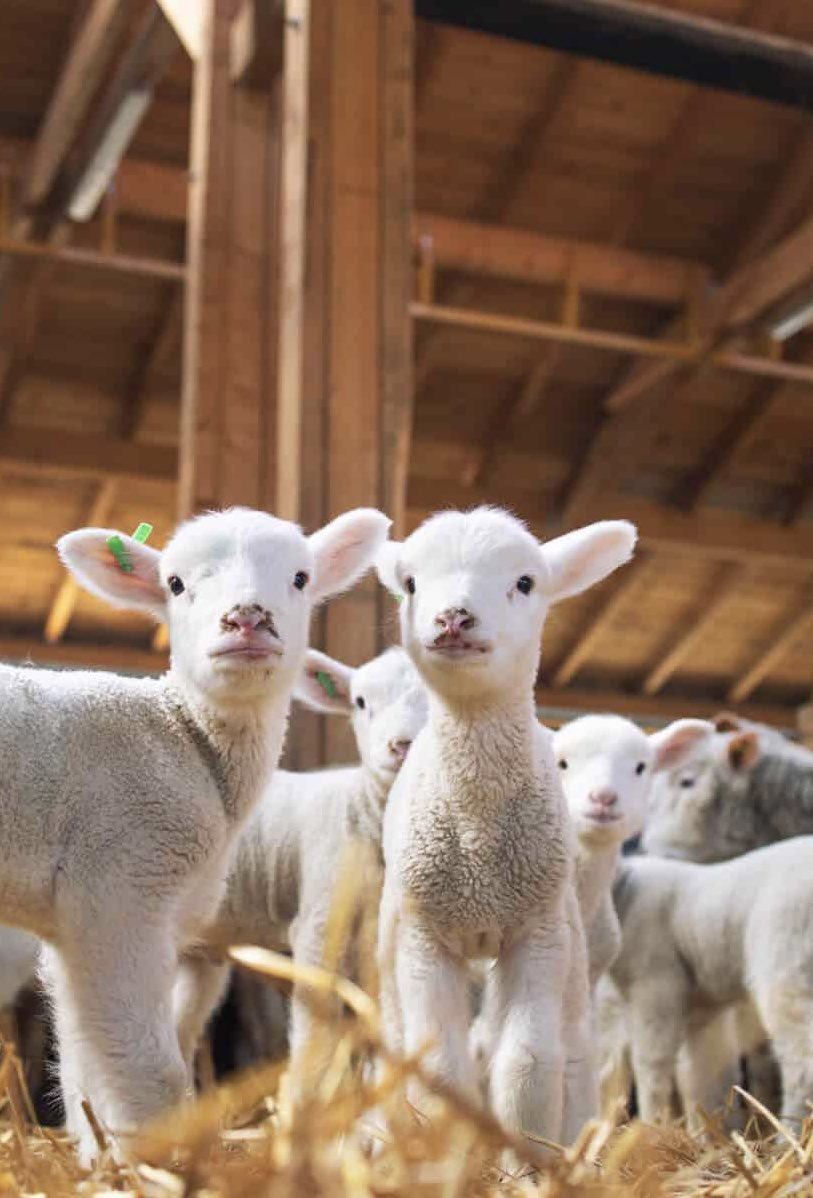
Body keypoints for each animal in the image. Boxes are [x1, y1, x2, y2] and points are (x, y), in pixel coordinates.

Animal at [1, 505, 389, 1164]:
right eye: (176, 584)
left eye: (301, 578)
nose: (247, 618)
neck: (185, 734)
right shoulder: (120, 884)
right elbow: (147, 1069)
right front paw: (158, 1163)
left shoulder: (78, 923)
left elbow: (85, 1063)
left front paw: (101, 1155)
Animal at [173, 643, 428, 1082]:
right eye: (361, 702)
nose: (402, 746)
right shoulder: (318, 924)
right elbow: (314, 1037)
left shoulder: (381, 939)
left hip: (197, 949)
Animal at [374, 506, 637, 1154]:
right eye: (410, 583)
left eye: (524, 582)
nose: (453, 618)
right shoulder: (424, 934)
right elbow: (439, 1066)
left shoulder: (535, 931)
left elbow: (527, 1063)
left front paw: (527, 1163)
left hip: (568, 938)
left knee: (572, 1050)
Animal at [609, 836, 813, 1128]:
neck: (625, 893)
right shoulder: (701, 1007)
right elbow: (698, 1077)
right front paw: (702, 1132)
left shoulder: (655, 985)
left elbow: (651, 1064)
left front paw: (650, 1127)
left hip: (786, 963)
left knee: (802, 1065)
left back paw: (789, 1133)